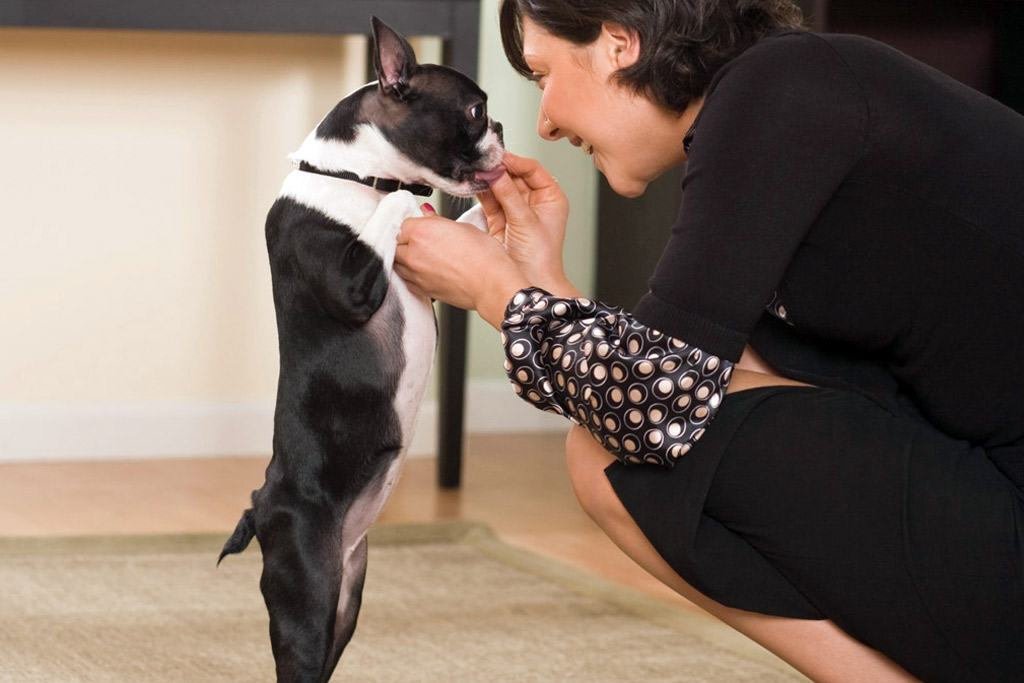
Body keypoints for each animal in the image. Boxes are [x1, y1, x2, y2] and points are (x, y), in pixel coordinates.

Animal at [220, 18, 503, 679]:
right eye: (474, 111)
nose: (503, 127)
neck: (351, 177)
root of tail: (259, 505)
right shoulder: (351, 285)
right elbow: (399, 205)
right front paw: (409, 198)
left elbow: (466, 223)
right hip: (307, 594)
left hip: (347, 597)